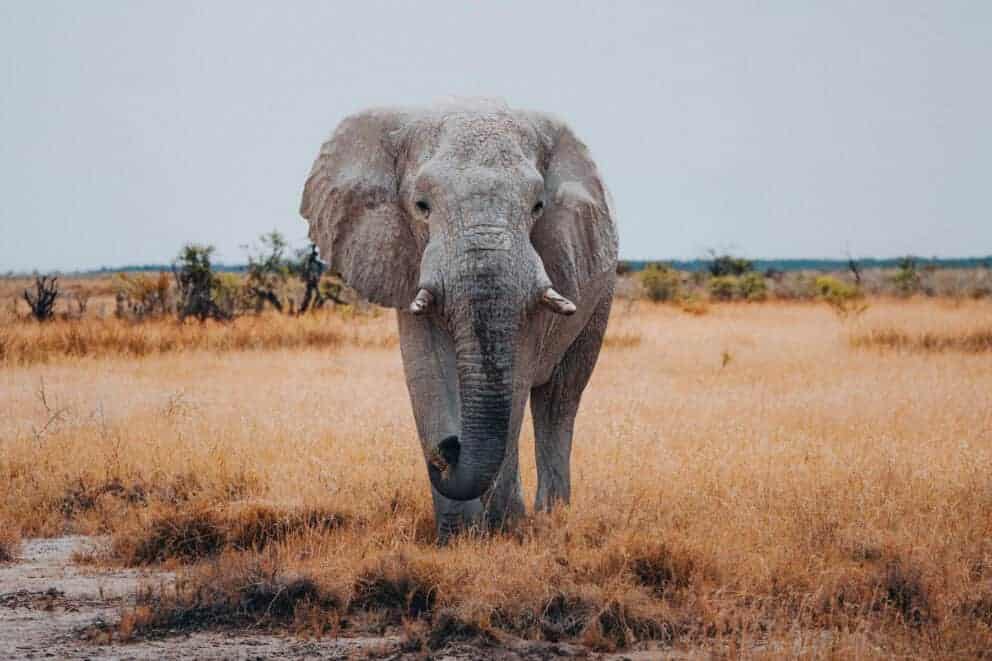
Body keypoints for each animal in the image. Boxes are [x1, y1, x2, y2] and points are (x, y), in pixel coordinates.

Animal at [300, 99, 618, 540]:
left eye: (537, 207)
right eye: (422, 206)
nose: (449, 449)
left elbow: (516, 379)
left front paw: (502, 528)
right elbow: (427, 370)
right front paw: (455, 535)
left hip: (601, 295)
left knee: (559, 399)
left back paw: (551, 515)